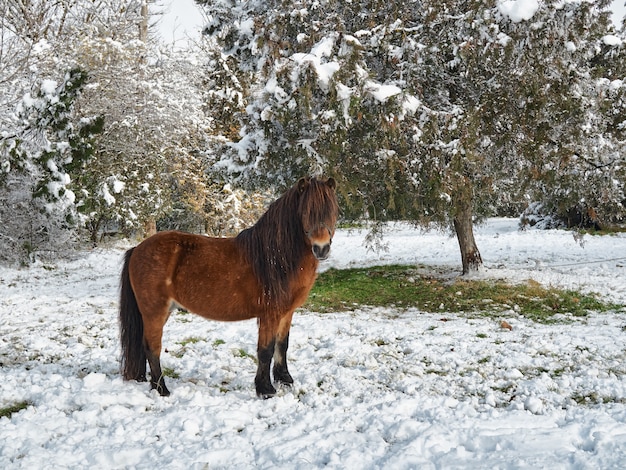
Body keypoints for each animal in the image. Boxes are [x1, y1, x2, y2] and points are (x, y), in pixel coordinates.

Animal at [119, 176, 338, 396]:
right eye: (306, 212)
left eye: (332, 211)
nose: (321, 248)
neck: (275, 259)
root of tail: (137, 248)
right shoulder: (270, 314)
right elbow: (265, 350)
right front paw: (265, 389)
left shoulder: (287, 313)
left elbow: (282, 345)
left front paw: (284, 379)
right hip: (155, 311)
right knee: (152, 347)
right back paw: (162, 389)